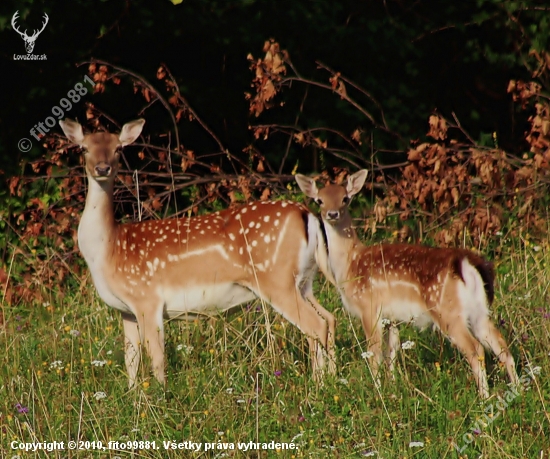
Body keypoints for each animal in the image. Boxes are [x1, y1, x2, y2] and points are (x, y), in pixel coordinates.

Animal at [60, 119, 336, 388]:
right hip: (303, 281)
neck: (109, 250)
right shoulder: (125, 310)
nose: (103, 168)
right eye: (84, 148)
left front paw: (161, 396)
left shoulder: (146, 298)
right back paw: (333, 379)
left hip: (277, 279)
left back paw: (318, 386)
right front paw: (133, 396)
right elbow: (131, 359)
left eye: (118, 148)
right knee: (330, 319)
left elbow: (156, 357)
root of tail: (307, 215)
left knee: (316, 325)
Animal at [296, 171, 520, 398]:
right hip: (479, 311)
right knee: (502, 347)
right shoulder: (392, 318)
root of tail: (465, 264)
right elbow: (391, 353)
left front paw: (377, 390)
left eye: (345, 198)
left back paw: (484, 397)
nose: (332, 214)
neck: (349, 263)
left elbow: (375, 354)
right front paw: (393, 387)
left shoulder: (369, 308)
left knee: (476, 349)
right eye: (319, 200)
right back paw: (519, 391)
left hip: (447, 312)